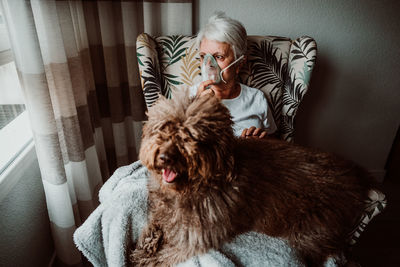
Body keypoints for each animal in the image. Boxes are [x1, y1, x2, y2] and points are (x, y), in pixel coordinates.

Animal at [130, 91, 376, 266]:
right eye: (164, 127)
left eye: (191, 136)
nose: (165, 157)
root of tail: (353, 175)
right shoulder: (163, 212)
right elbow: (155, 223)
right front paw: (146, 242)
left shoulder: (196, 237)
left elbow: (167, 255)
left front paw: (145, 258)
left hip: (309, 230)